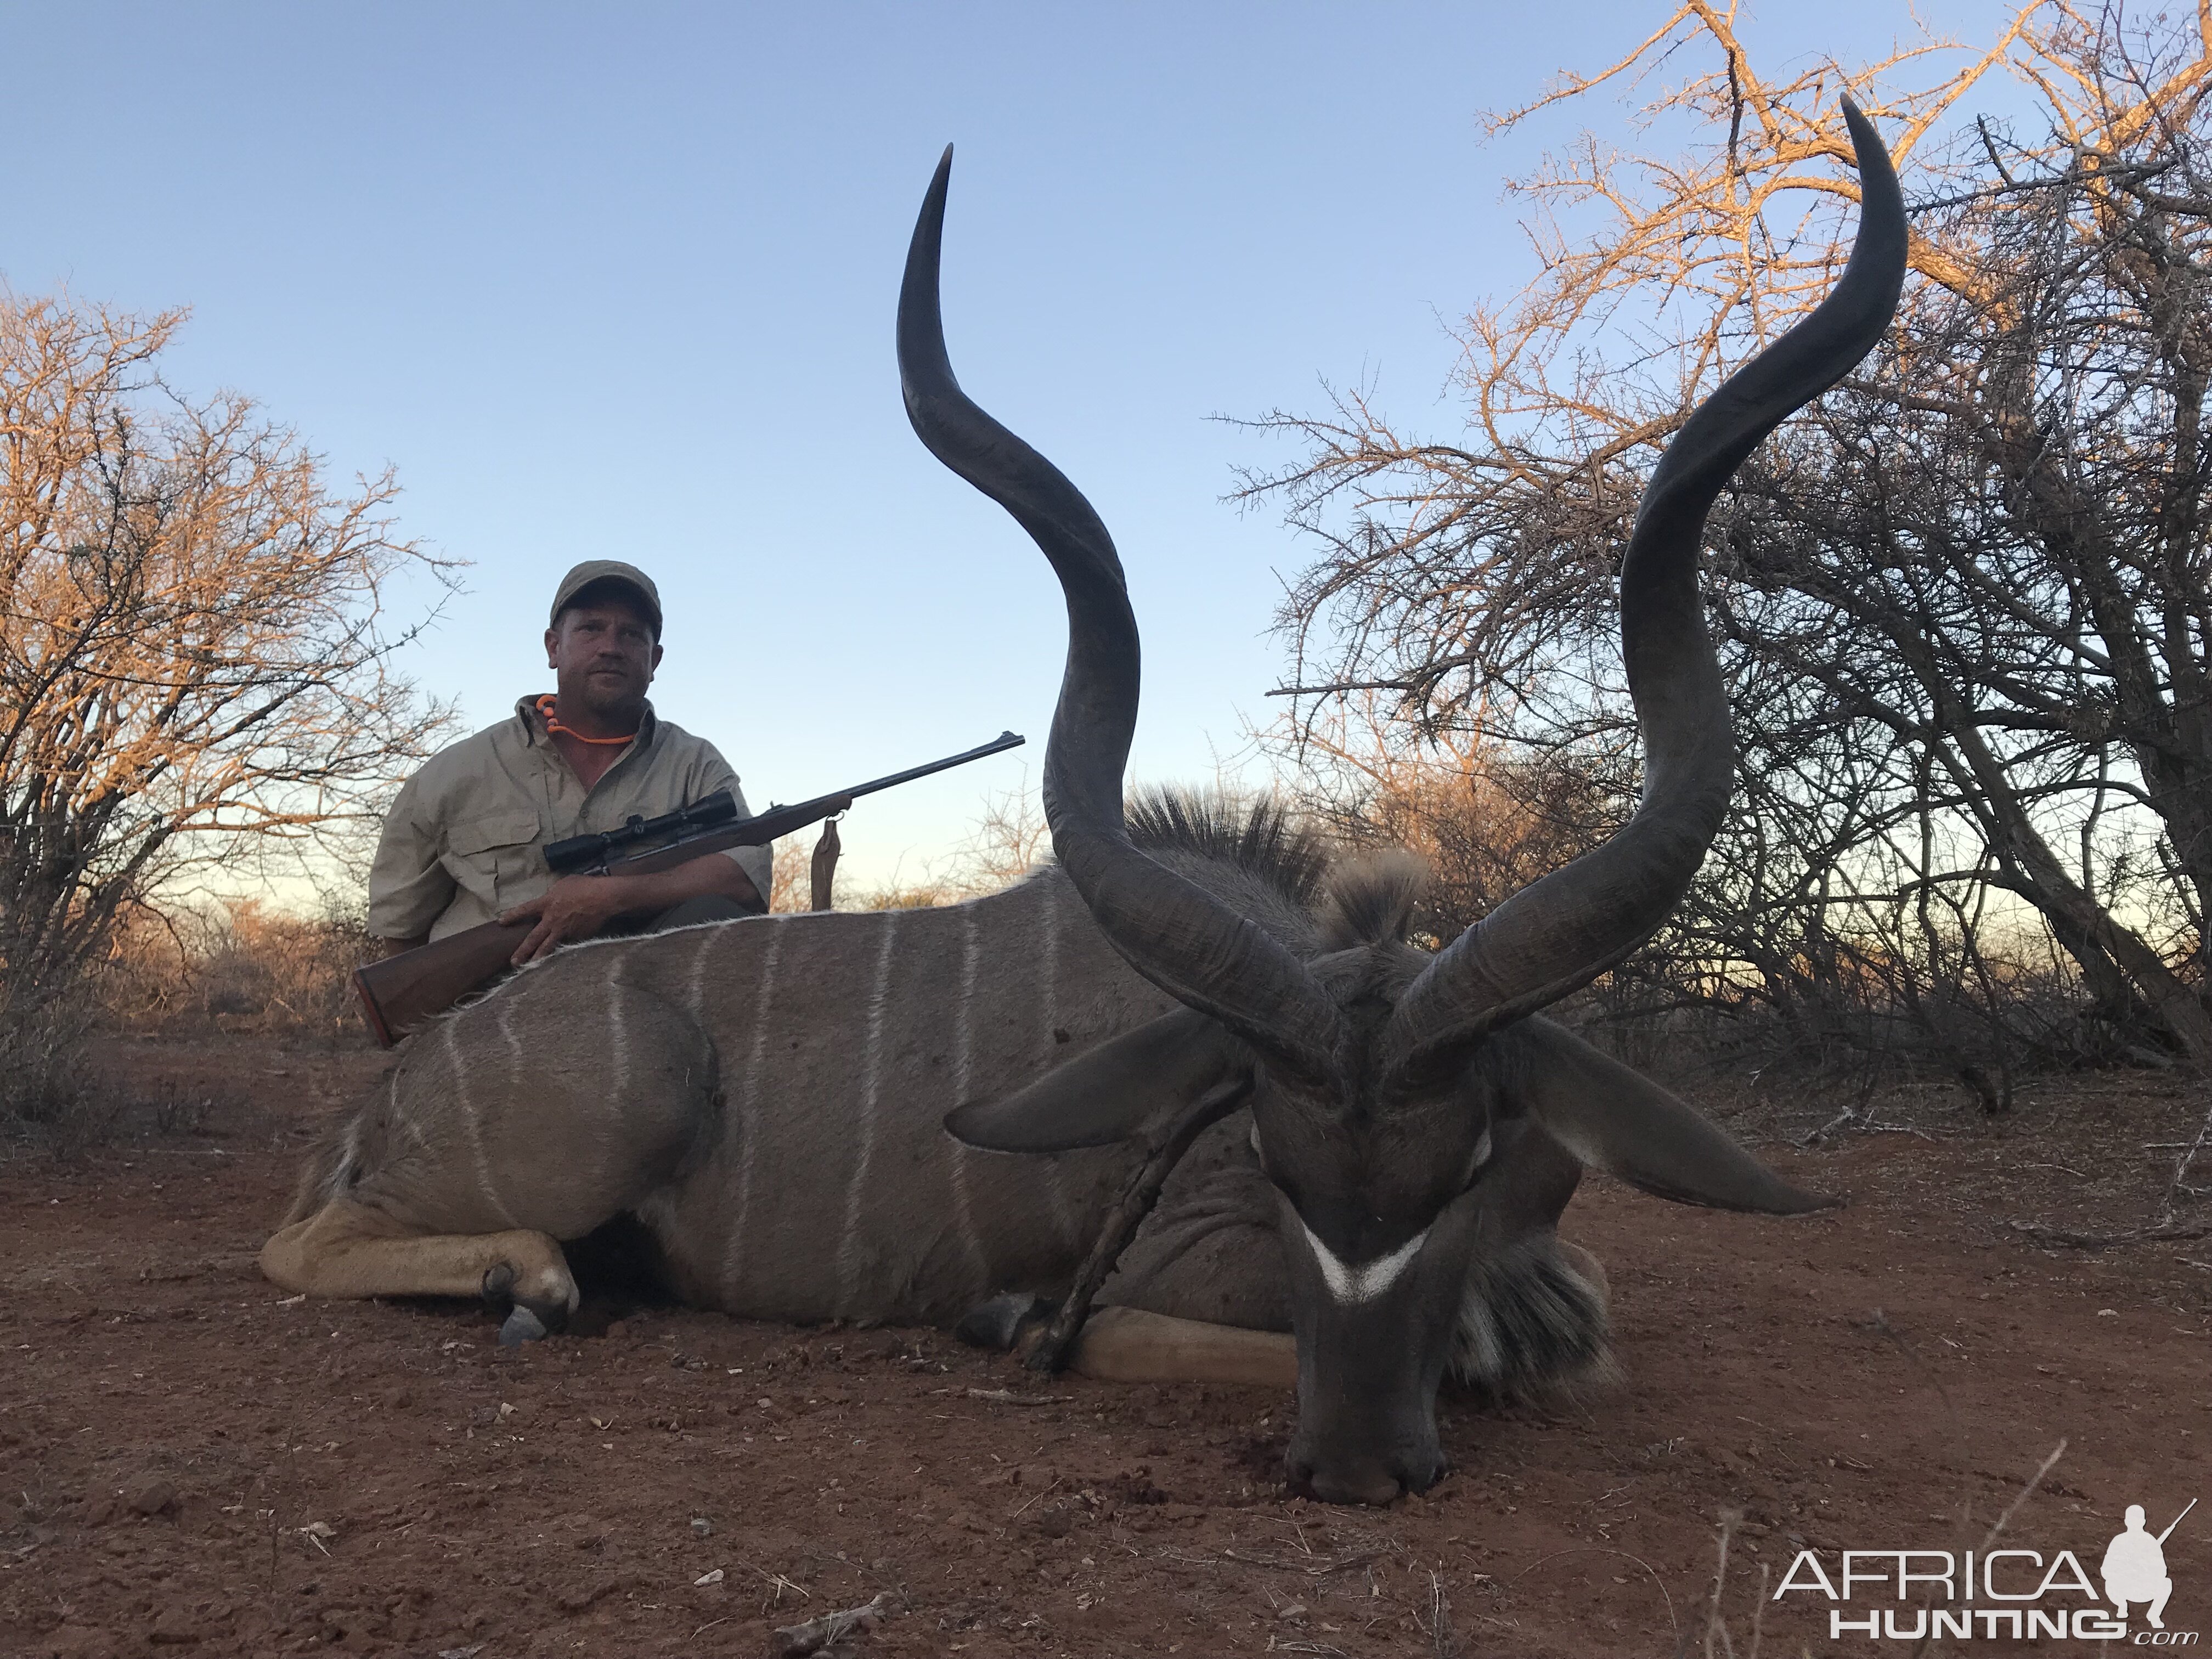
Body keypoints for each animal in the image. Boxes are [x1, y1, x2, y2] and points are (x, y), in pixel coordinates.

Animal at [263, 100, 1902, 1504]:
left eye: (1473, 1163)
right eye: (1273, 1160)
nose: (1356, 1463)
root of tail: (396, 1089)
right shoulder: (1179, 1271)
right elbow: (1434, 1349)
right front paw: (1014, 1319)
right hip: (610, 1114)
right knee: (302, 1244)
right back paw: (530, 1280)